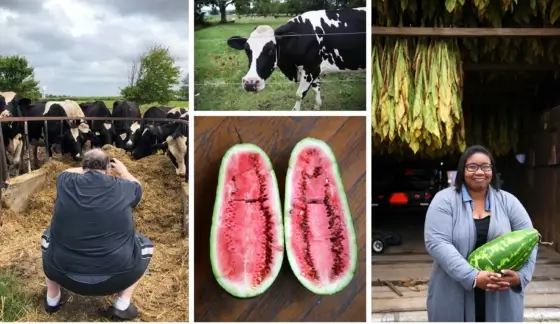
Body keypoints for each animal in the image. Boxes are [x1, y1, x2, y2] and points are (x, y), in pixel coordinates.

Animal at [225, 6, 366, 110]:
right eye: (247, 50)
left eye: (271, 50)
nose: (250, 83)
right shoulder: (313, 70)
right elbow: (316, 89)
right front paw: (317, 107)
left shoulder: (310, 69)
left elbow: (299, 95)